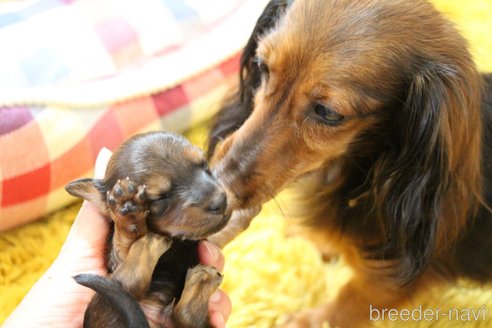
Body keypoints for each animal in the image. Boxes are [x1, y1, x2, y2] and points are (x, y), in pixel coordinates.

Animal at [64, 131, 230, 328]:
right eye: (159, 198)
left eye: (205, 165)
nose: (221, 201)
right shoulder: (115, 259)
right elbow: (124, 241)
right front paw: (128, 212)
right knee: (126, 284)